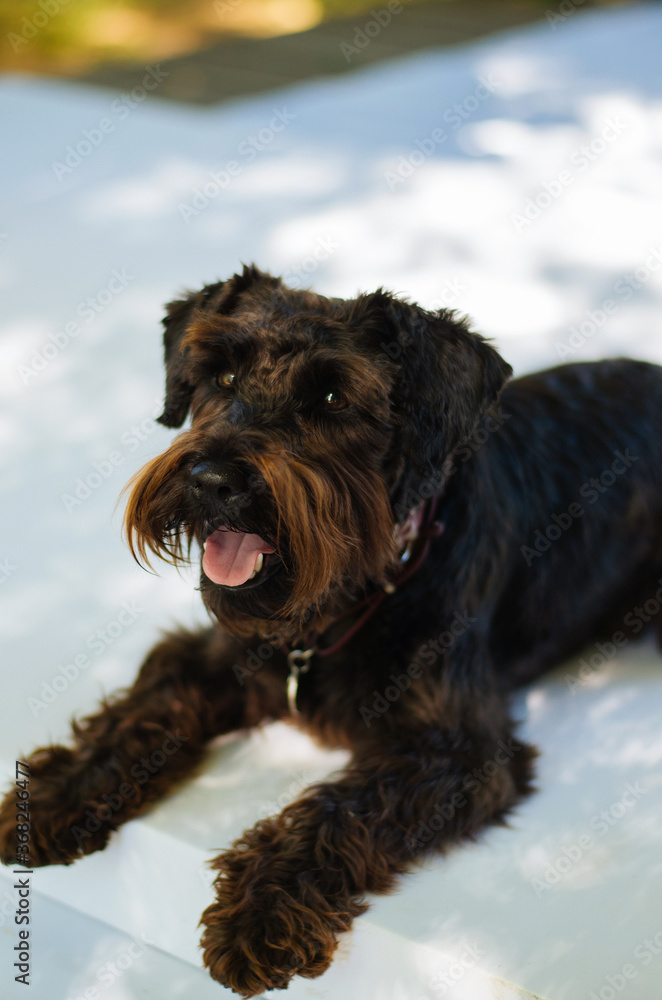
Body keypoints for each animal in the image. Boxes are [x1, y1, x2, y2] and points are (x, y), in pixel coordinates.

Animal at [1, 262, 662, 996]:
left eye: (332, 395)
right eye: (220, 376)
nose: (211, 479)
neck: (346, 599)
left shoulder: (455, 748)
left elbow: (337, 809)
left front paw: (259, 910)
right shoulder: (218, 653)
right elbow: (145, 706)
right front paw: (57, 790)